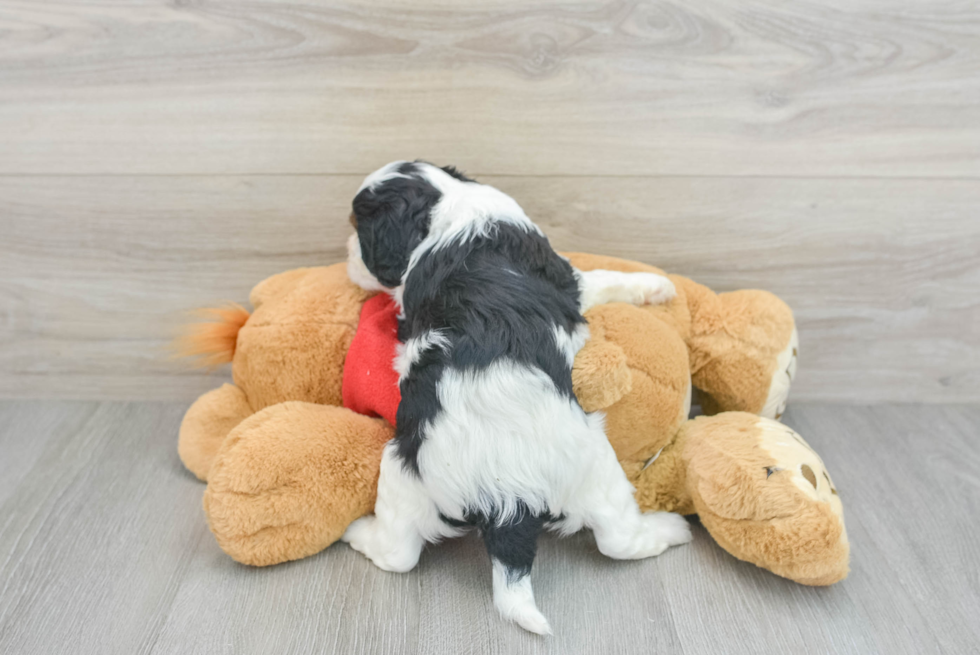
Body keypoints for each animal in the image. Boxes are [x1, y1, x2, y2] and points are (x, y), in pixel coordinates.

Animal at [342, 161, 688, 640]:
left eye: (358, 230)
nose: (345, 255)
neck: (448, 204)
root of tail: (506, 499)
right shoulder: (570, 278)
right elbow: (605, 278)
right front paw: (657, 286)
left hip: (415, 472)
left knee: (399, 555)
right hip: (588, 468)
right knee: (620, 540)